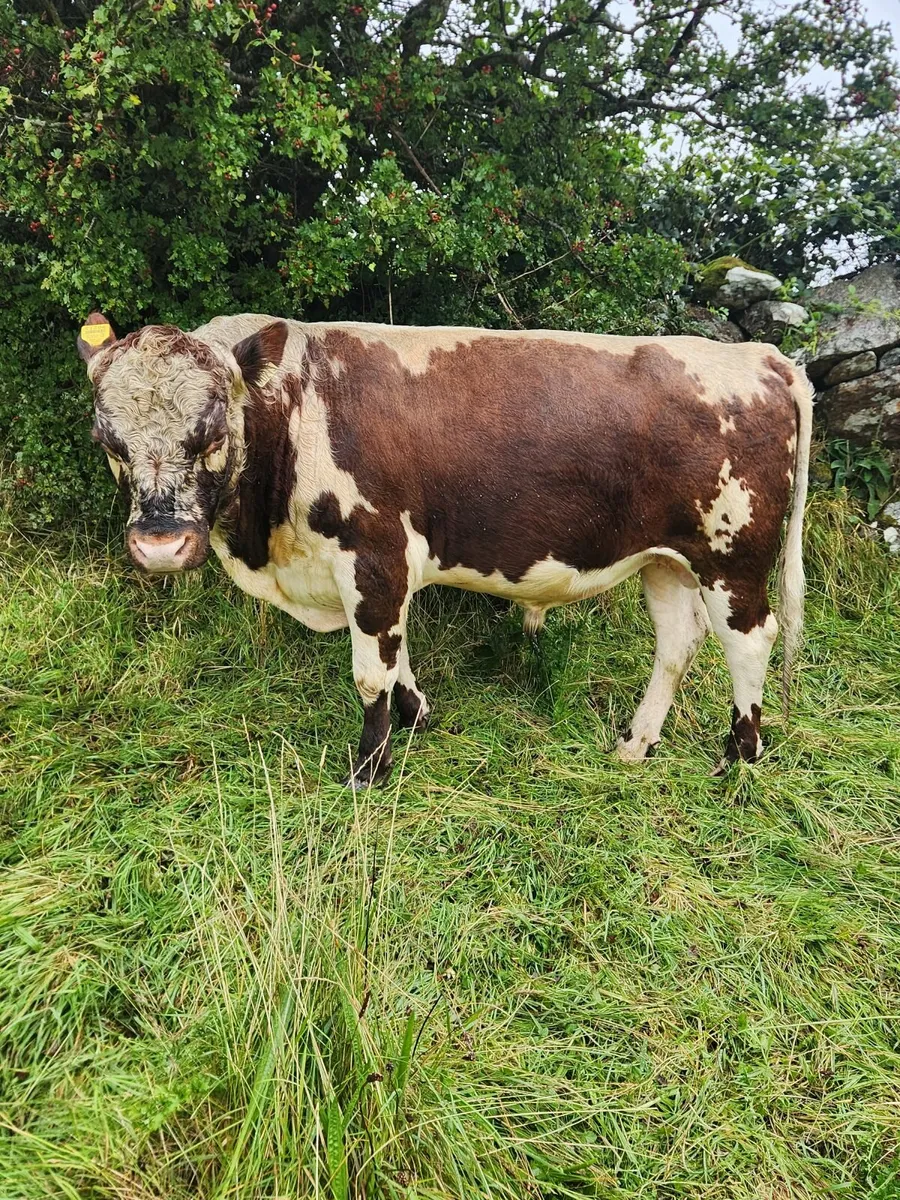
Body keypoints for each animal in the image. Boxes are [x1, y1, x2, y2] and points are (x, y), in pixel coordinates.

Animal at [78, 311, 812, 785]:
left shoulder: (373, 553)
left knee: (751, 641)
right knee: (678, 642)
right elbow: (396, 651)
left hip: (733, 555)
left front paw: (368, 769)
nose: (162, 545)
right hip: (665, 558)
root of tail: (761, 356)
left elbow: (370, 670)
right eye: (108, 441)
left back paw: (739, 759)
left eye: (208, 432)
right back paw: (636, 745)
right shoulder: (383, 570)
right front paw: (415, 716)